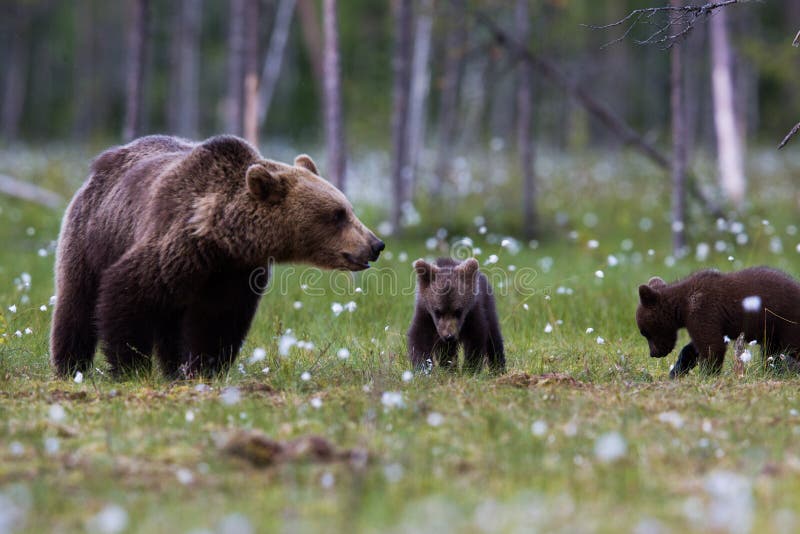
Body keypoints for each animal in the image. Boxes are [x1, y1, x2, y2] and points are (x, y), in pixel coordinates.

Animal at [51, 138, 386, 382]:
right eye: (337, 215)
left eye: (347, 208)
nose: (375, 244)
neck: (220, 240)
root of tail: (102, 163)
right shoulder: (172, 246)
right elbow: (127, 294)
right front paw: (131, 368)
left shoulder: (235, 273)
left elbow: (218, 320)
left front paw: (204, 369)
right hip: (93, 235)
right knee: (76, 302)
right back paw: (69, 366)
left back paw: (173, 369)